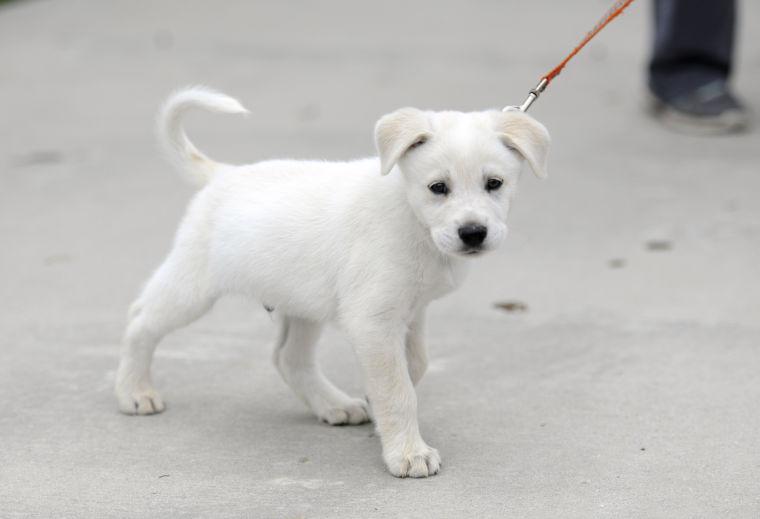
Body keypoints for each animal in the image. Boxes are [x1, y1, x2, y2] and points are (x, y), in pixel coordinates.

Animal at [116, 86, 548, 480]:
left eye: (495, 183)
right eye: (438, 187)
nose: (473, 233)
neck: (412, 219)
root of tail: (223, 174)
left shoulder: (411, 311)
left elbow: (414, 367)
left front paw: (381, 414)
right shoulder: (373, 321)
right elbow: (398, 390)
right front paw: (408, 453)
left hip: (302, 302)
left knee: (289, 358)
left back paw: (332, 404)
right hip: (191, 287)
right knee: (140, 320)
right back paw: (134, 392)